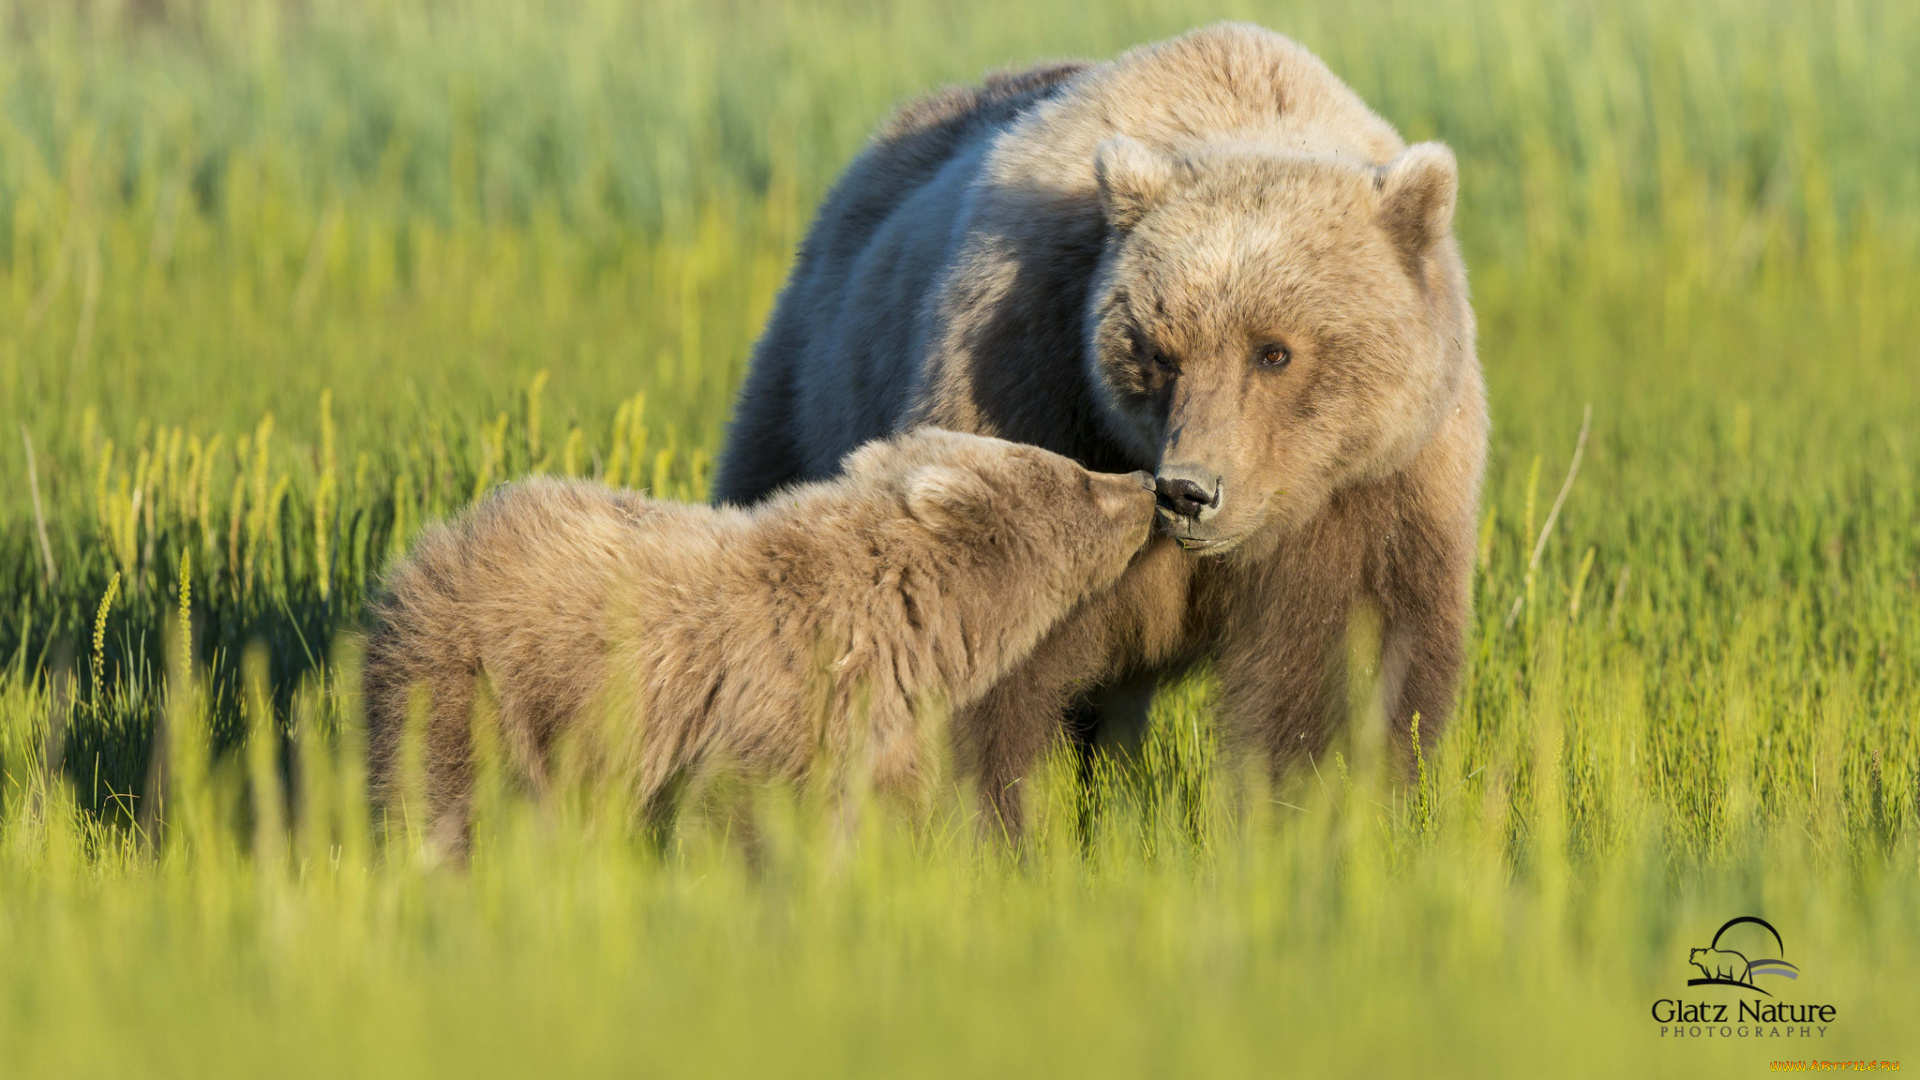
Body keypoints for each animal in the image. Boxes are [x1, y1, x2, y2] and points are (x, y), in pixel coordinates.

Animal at [366, 428, 1159, 849]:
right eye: (1077, 476)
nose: (1148, 484)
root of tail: (431, 545)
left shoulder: (880, 733)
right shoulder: (771, 701)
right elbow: (740, 811)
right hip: (483, 685)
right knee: (442, 793)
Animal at [714, 25, 1489, 834]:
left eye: (1274, 351)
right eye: (1159, 351)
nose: (1188, 492)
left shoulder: (1375, 489)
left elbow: (1341, 669)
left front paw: (1312, 815)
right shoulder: (1035, 385)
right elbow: (996, 647)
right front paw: (987, 824)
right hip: (813, 382)